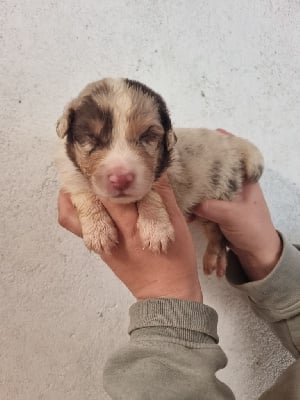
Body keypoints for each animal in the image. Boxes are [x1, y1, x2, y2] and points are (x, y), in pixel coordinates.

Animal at [55, 77, 262, 276]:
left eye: (146, 137)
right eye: (91, 138)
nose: (121, 179)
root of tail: (233, 142)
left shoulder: (165, 174)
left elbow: (151, 193)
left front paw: (156, 229)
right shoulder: (72, 176)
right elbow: (84, 194)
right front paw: (99, 231)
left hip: (222, 191)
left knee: (217, 235)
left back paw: (212, 258)